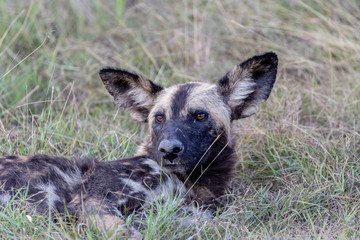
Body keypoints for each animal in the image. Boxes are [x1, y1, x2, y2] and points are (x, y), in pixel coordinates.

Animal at [0, 52, 278, 234]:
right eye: (159, 117)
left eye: (200, 116)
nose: (168, 150)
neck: (189, 184)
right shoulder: (94, 202)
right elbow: (125, 231)